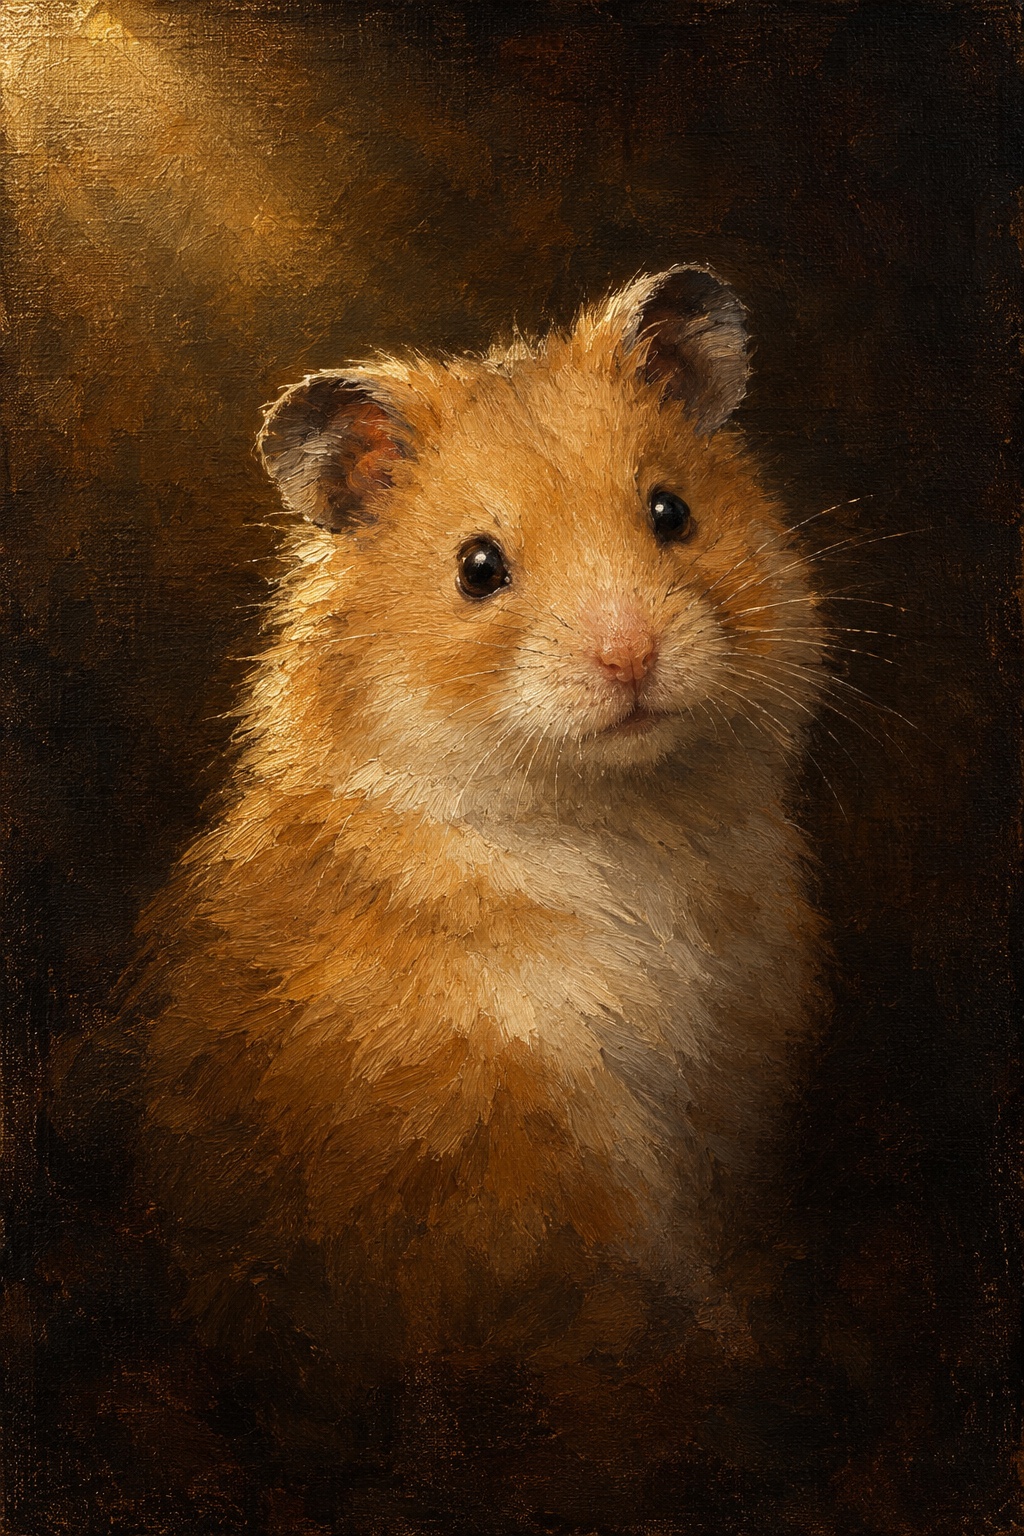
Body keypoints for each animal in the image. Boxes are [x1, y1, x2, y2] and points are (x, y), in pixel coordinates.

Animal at [134, 267, 826, 1443]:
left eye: (671, 512)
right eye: (478, 568)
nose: (631, 655)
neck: (607, 817)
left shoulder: (724, 1085)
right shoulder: (520, 1149)